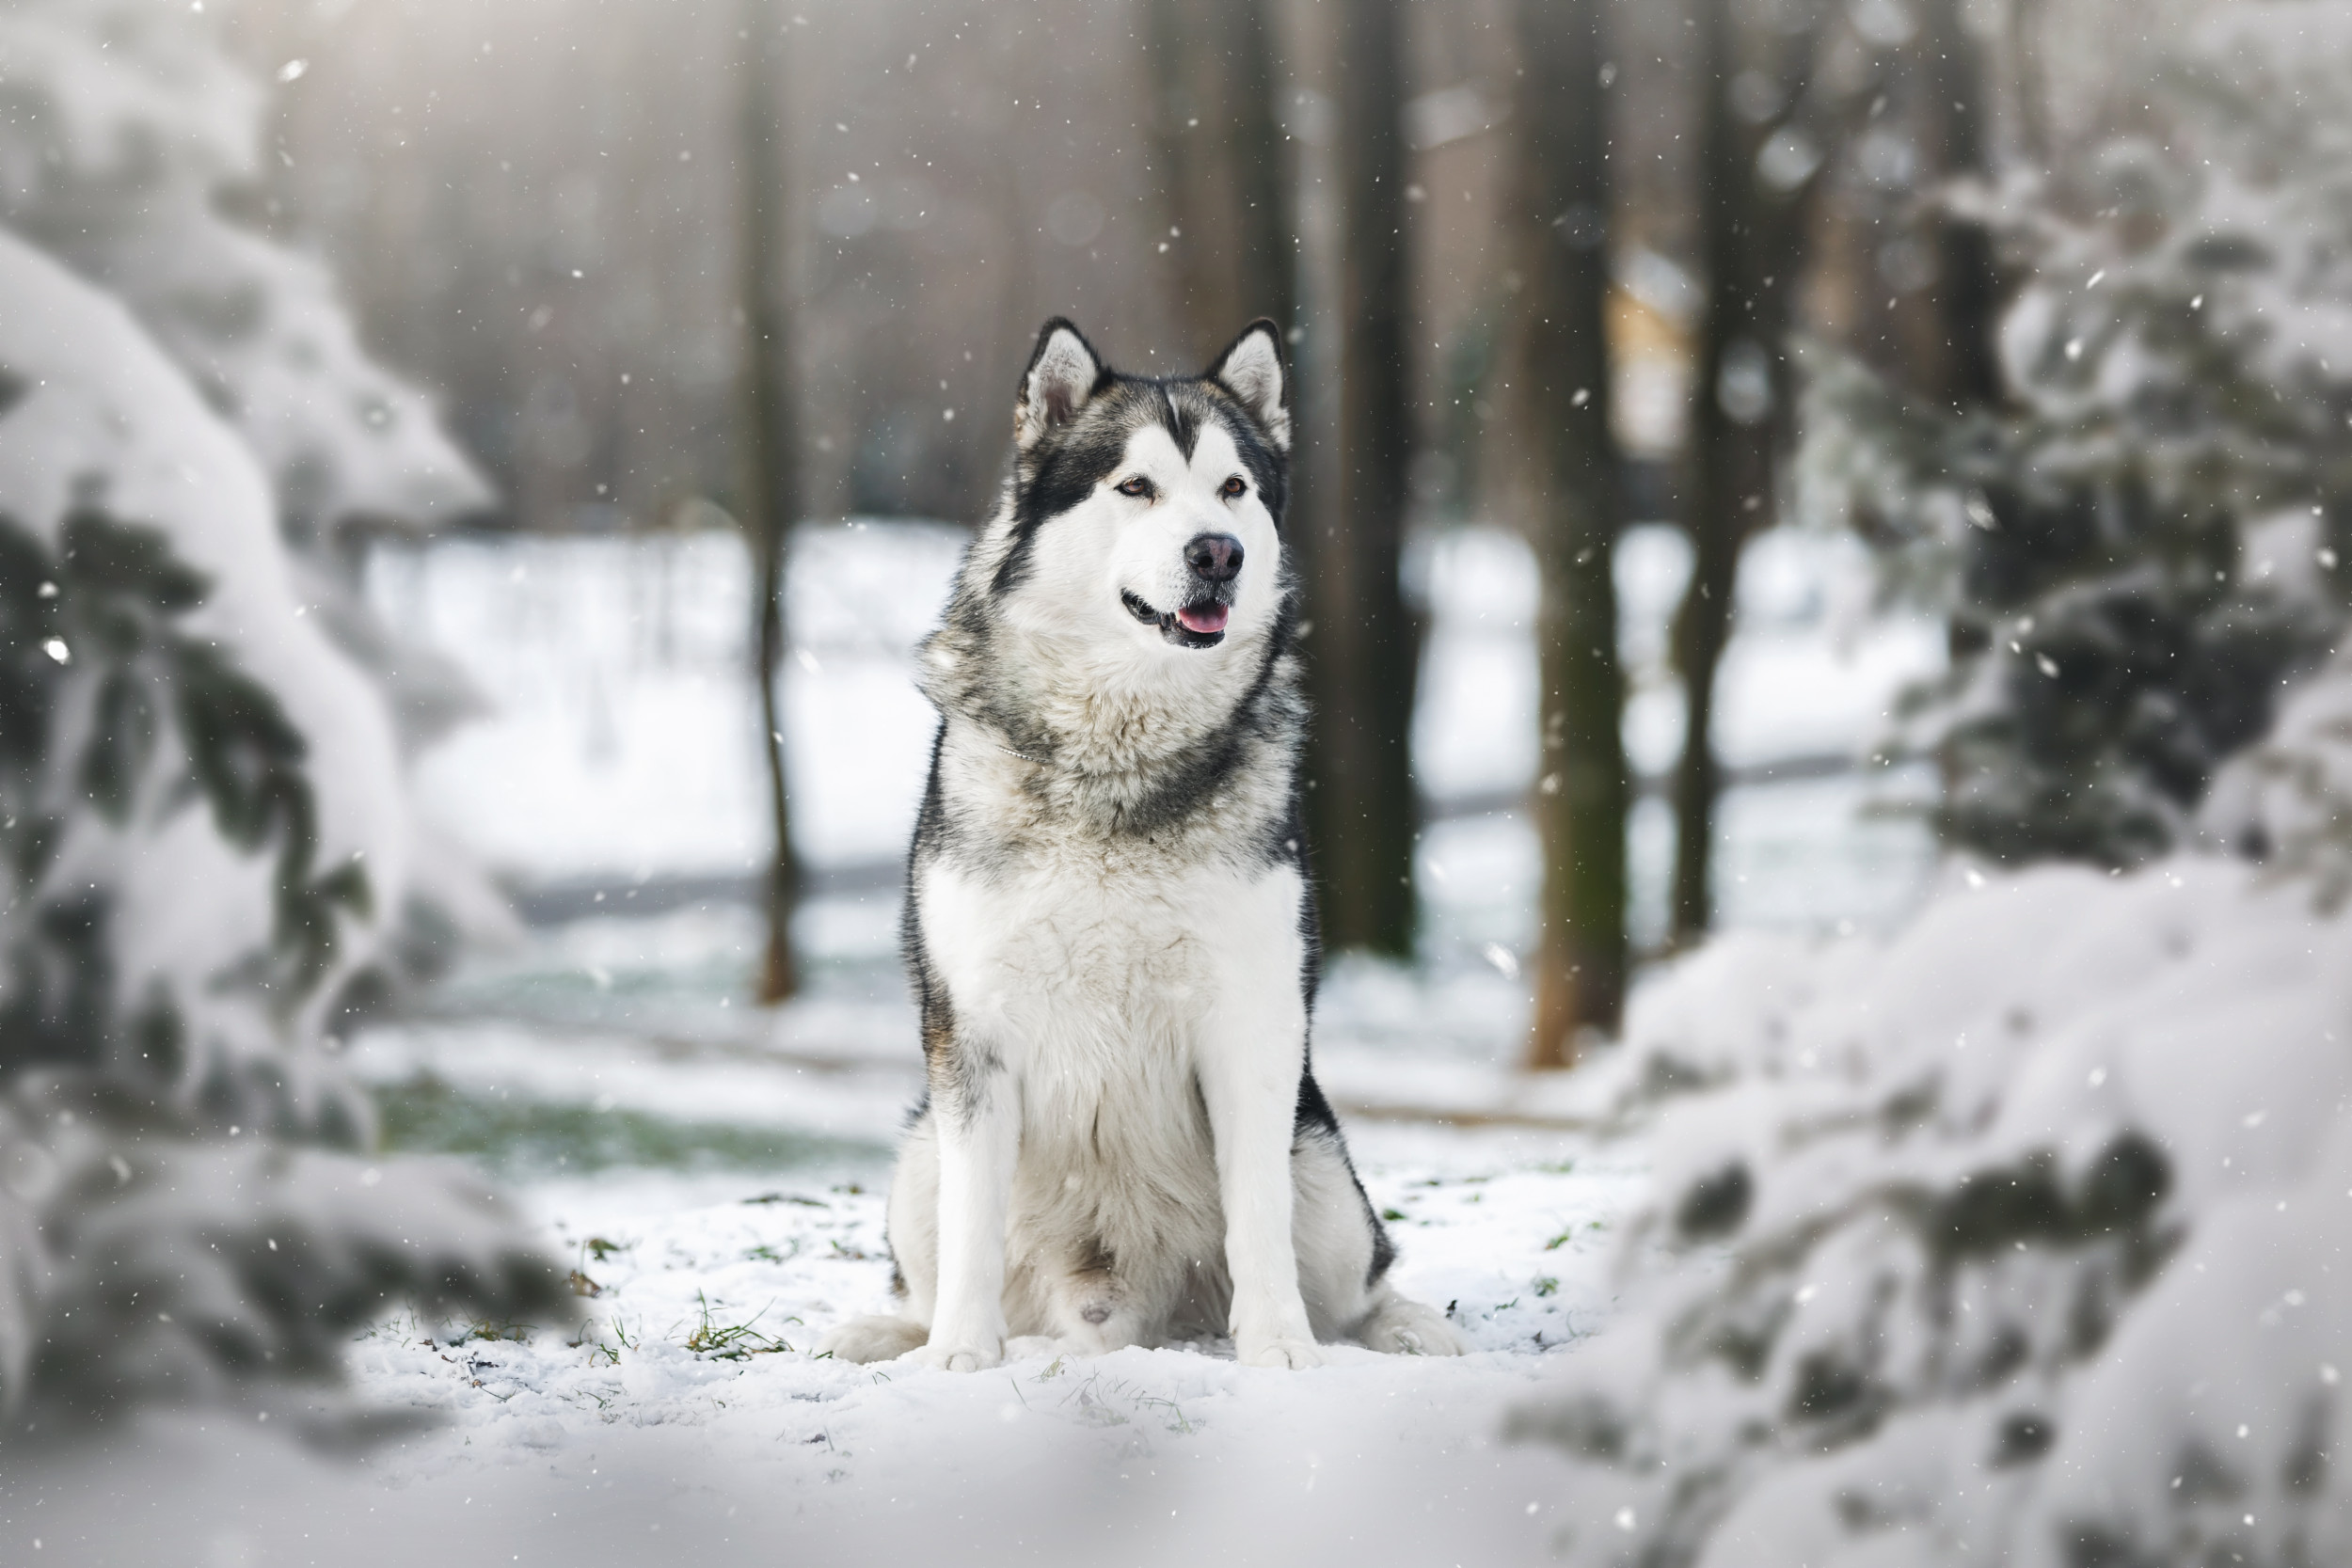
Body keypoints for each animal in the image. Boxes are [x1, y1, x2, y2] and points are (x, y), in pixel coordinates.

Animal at [818, 319, 1458, 1372]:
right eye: (1135, 486)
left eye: (1234, 487)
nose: (1218, 553)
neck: (1118, 757)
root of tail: (1125, 1321)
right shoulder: (972, 1031)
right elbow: (971, 1220)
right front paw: (959, 1353)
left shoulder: (1254, 1021)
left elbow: (1258, 1219)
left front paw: (1280, 1349)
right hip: (917, 1154)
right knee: (931, 1254)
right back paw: (887, 1330)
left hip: (1322, 1157)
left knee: (1361, 1276)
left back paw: (1399, 1324)